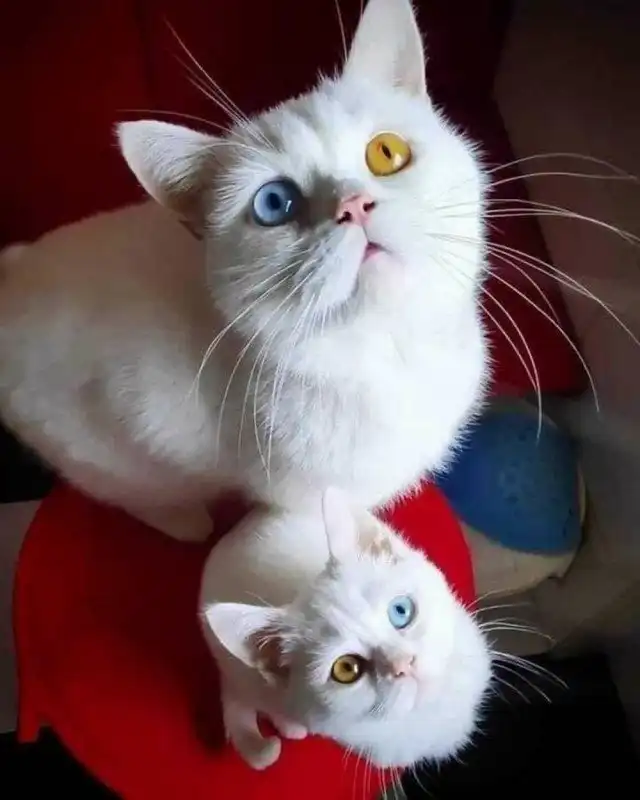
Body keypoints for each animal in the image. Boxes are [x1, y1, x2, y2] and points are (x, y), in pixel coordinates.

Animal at [0, 0, 487, 540]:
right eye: (274, 203)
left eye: (386, 152)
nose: (353, 206)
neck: (391, 354)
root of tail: (13, 269)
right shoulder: (301, 496)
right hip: (101, 453)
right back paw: (186, 521)